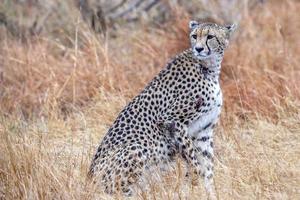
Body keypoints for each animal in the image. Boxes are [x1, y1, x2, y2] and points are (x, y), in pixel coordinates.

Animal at [89, 20, 237, 198]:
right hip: (135, 148)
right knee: (118, 190)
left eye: (210, 36)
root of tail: (89, 180)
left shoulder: (204, 131)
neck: (209, 67)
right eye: (195, 36)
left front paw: (208, 192)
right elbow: (193, 160)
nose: (199, 49)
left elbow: (207, 165)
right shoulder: (173, 121)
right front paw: (195, 183)